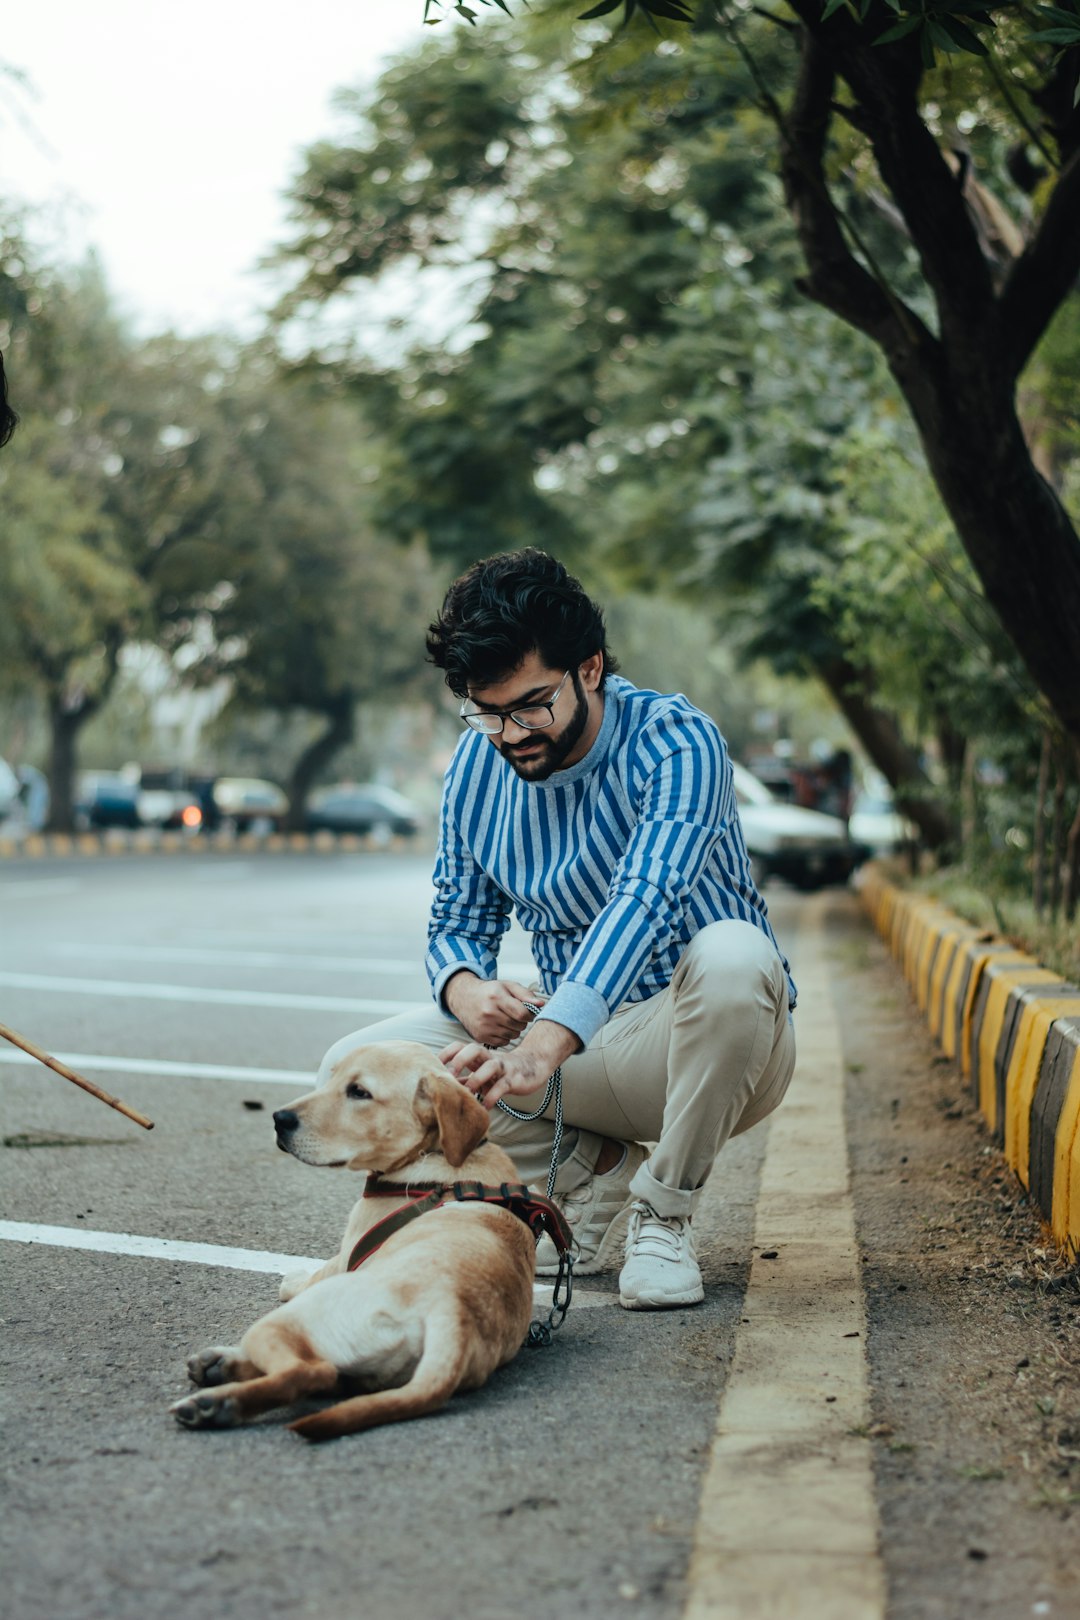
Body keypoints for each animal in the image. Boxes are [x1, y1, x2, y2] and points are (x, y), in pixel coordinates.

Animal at [173, 1036, 540, 1445]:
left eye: (360, 1092)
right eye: (334, 1077)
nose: (279, 1119)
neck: (432, 1153)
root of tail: (453, 1312)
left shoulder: (348, 1252)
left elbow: (312, 1273)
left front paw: (294, 1277)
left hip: (289, 1319)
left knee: (308, 1372)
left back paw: (217, 1401)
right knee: (322, 1374)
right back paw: (220, 1373)